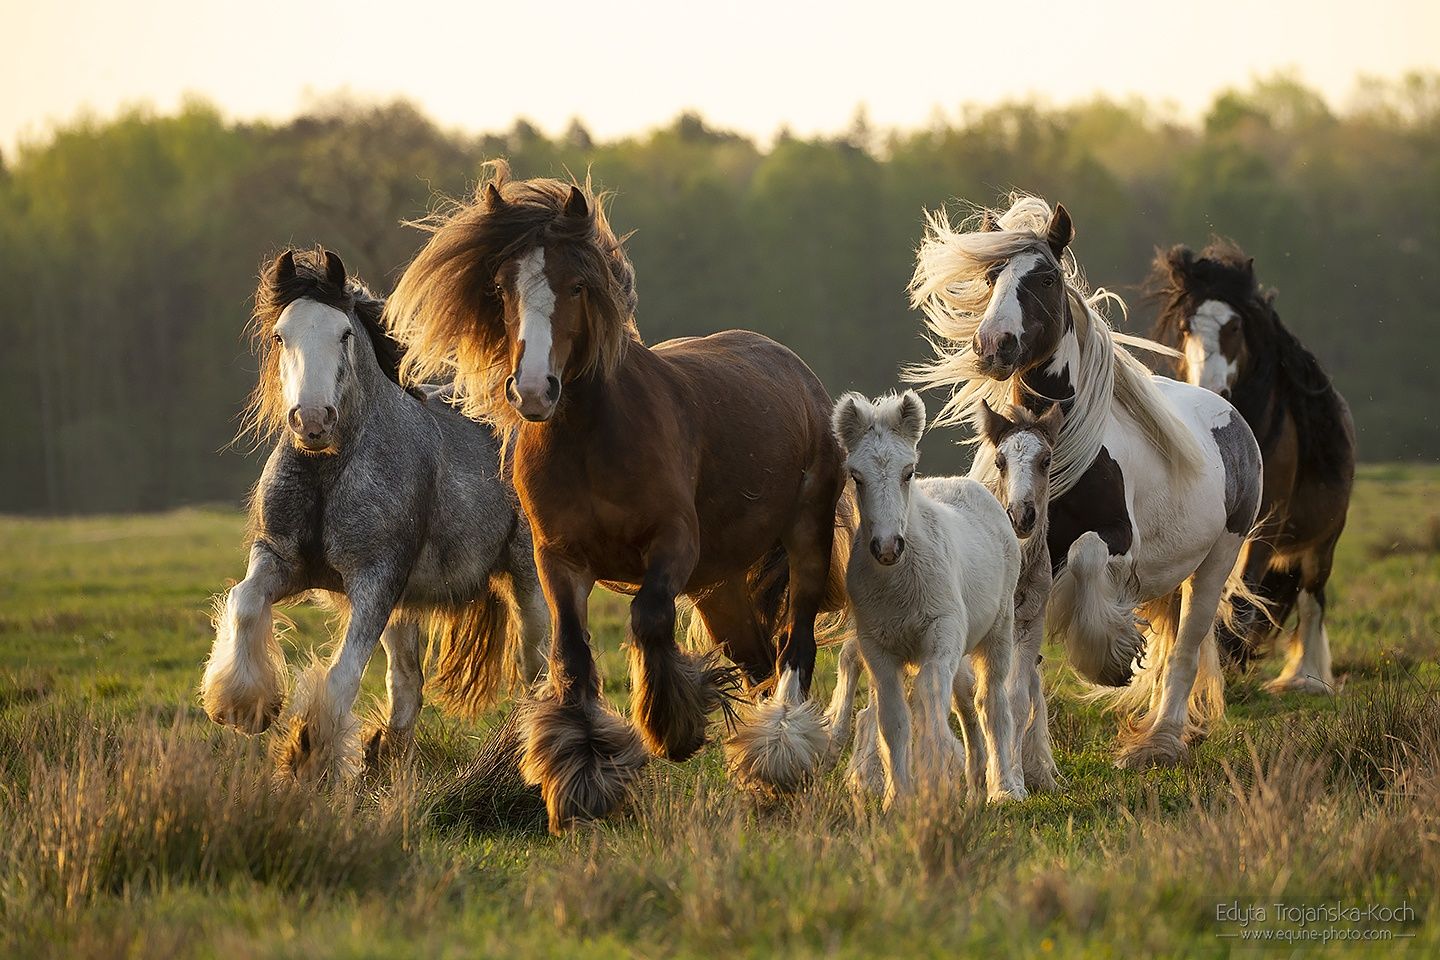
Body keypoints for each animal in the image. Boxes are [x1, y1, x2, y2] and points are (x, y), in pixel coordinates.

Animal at [388, 165, 846, 834]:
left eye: (576, 285)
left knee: (795, 650)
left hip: (806, 540)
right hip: (720, 586)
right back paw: (760, 772)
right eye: (501, 287)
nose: (533, 390)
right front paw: (583, 779)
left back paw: (781, 751)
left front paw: (674, 728)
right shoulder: (559, 558)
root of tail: (797, 372)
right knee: (757, 658)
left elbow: (649, 617)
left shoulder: (672, 542)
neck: (589, 440)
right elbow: (573, 655)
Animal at [829, 391, 1019, 805]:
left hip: (998, 630)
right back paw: (976, 781)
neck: (897, 583)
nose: (887, 547)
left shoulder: (940, 637)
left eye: (908, 472)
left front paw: (936, 780)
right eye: (856, 476)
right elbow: (894, 721)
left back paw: (1004, 787)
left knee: (990, 701)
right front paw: (897, 797)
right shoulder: (878, 649)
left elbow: (929, 701)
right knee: (964, 702)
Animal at [910, 198, 1261, 771]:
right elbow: (1024, 666)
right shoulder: (1033, 557)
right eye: (990, 275)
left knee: (1185, 651)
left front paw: (1111, 660)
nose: (992, 344)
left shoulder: (1116, 539)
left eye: (1046, 277)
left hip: (1216, 562)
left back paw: (1159, 743)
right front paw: (1034, 764)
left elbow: (1090, 556)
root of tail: (1232, 419)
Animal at [1146, 238, 1347, 690]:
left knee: (1312, 600)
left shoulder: (1268, 521)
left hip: (1322, 544)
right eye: (1186, 327)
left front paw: (1229, 654)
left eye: (1235, 327)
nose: (1212, 388)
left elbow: (1245, 592)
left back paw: (1306, 678)